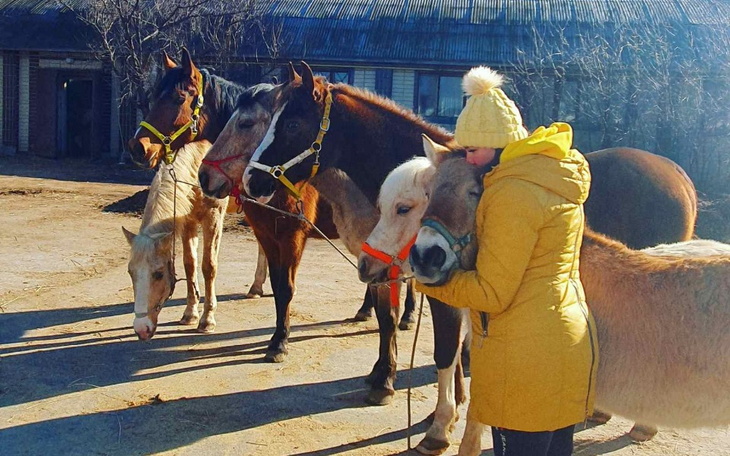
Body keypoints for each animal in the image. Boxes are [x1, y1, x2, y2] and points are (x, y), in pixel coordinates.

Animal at [123, 140, 226, 340]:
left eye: (158, 274)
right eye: (131, 272)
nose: (141, 329)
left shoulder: (213, 216)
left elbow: (208, 266)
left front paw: (207, 320)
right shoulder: (188, 221)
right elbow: (190, 265)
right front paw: (190, 315)